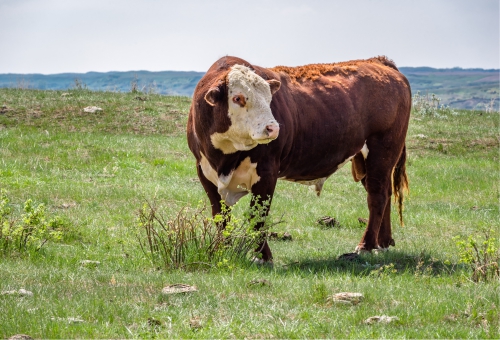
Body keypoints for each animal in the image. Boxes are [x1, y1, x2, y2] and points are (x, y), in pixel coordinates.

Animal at [188, 56, 410, 262]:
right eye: (237, 98)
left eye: (269, 98)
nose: (273, 128)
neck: (224, 159)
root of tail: (377, 61)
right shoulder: (204, 172)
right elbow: (220, 216)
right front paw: (221, 250)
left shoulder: (267, 172)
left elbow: (258, 215)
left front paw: (262, 256)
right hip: (367, 160)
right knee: (385, 192)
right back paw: (383, 243)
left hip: (382, 151)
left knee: (377, 196)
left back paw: (366, 245)